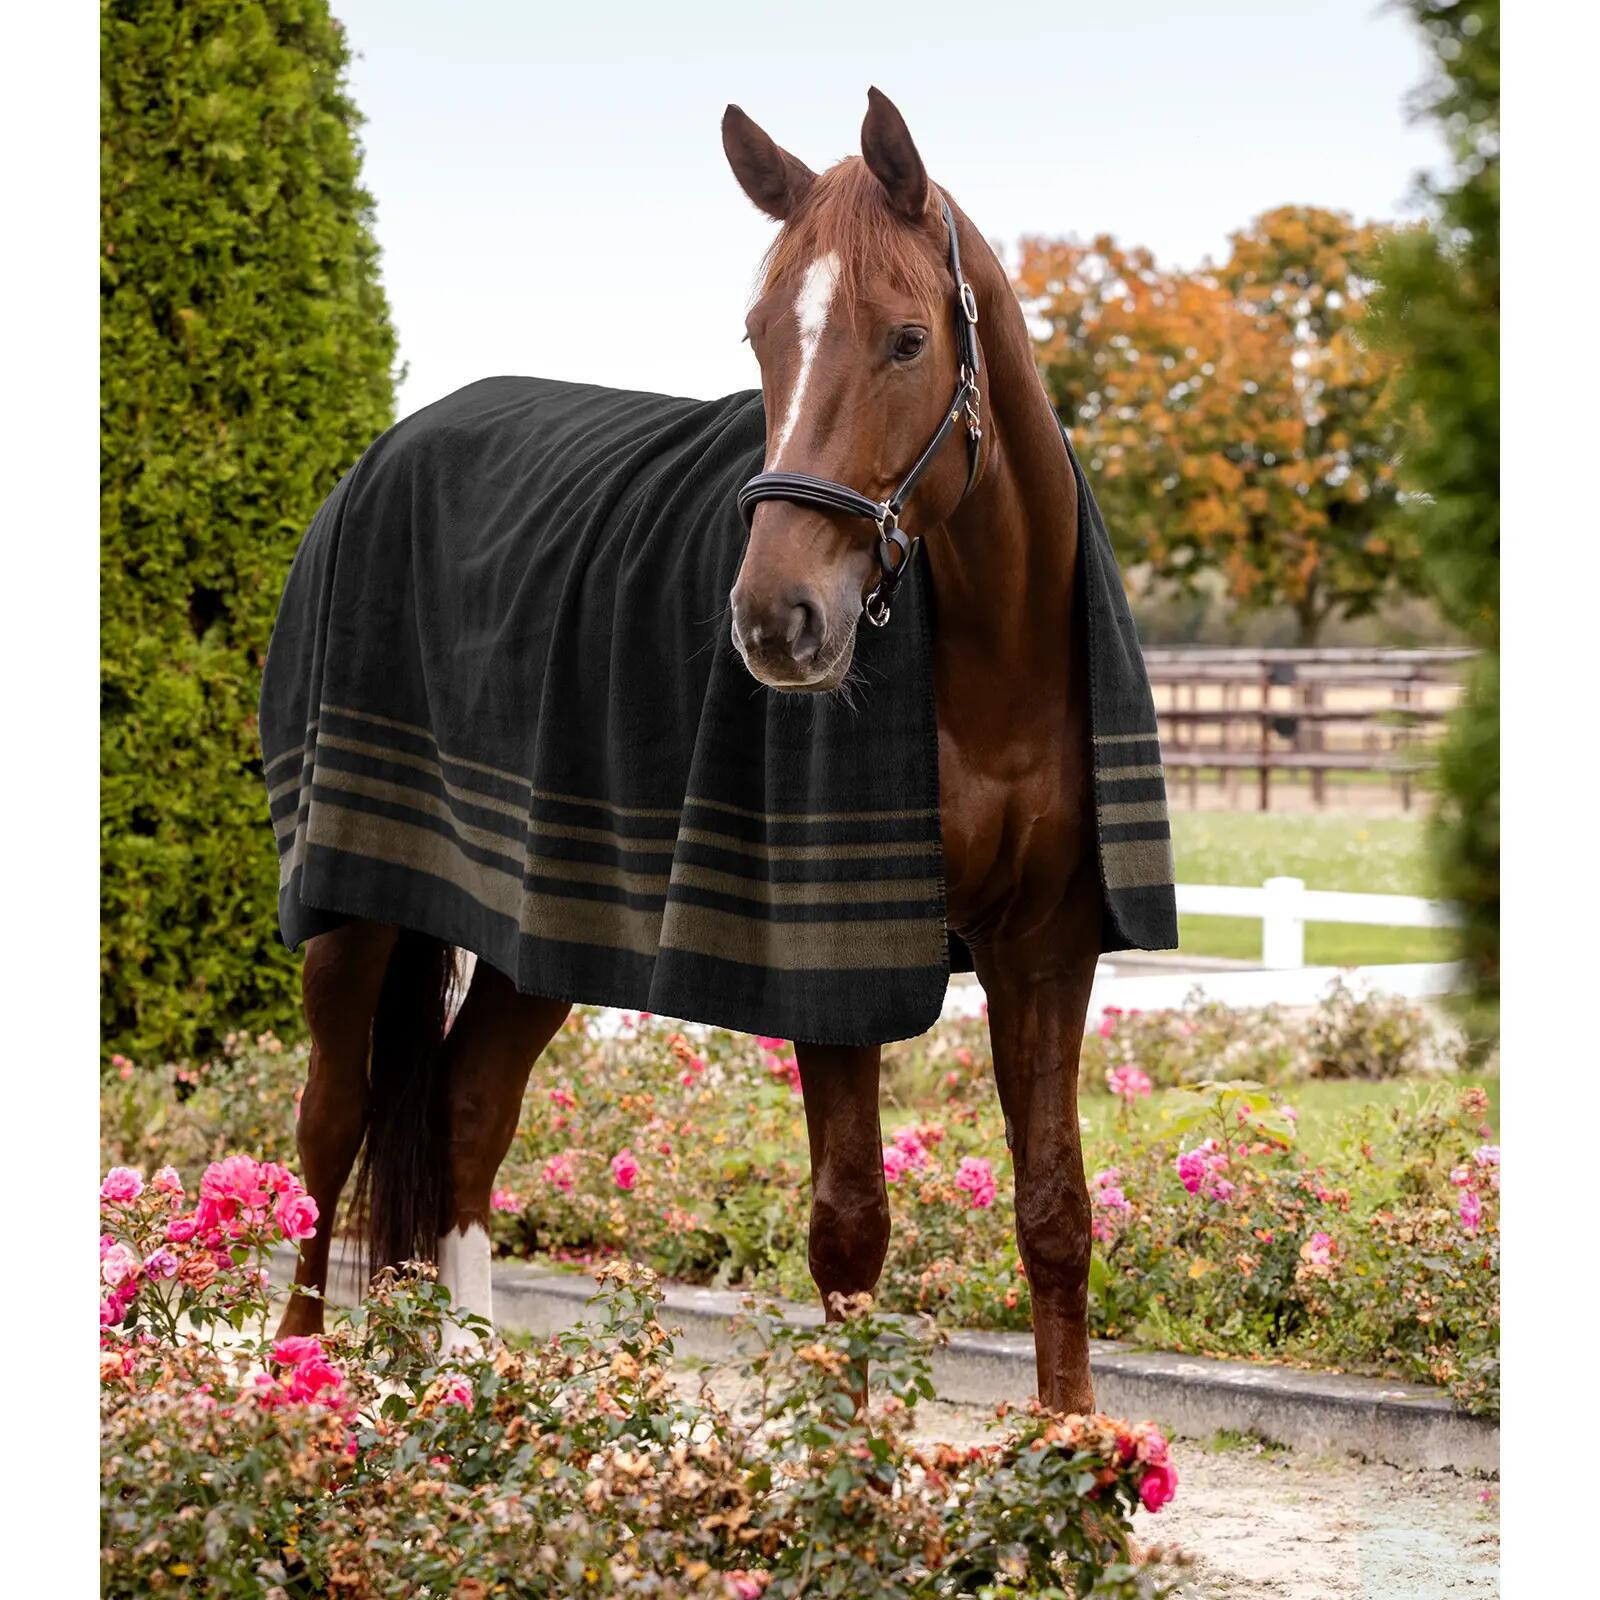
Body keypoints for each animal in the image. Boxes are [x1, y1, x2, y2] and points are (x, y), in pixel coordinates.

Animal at [276, 88, 1115, 1414]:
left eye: (906, 340)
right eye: (760, 335)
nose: (777, 619)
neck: (987, 662)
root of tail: (390, 450)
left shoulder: (1050, 942)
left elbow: (1054, 1209)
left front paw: (1078, 1445)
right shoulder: (828, 960)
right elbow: (850, 1224)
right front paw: (852, 1459)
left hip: (539, 922)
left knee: (467, 1103)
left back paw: (470, 1380)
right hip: (352, 904)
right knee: (332, 1117)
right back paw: (291, 1370)